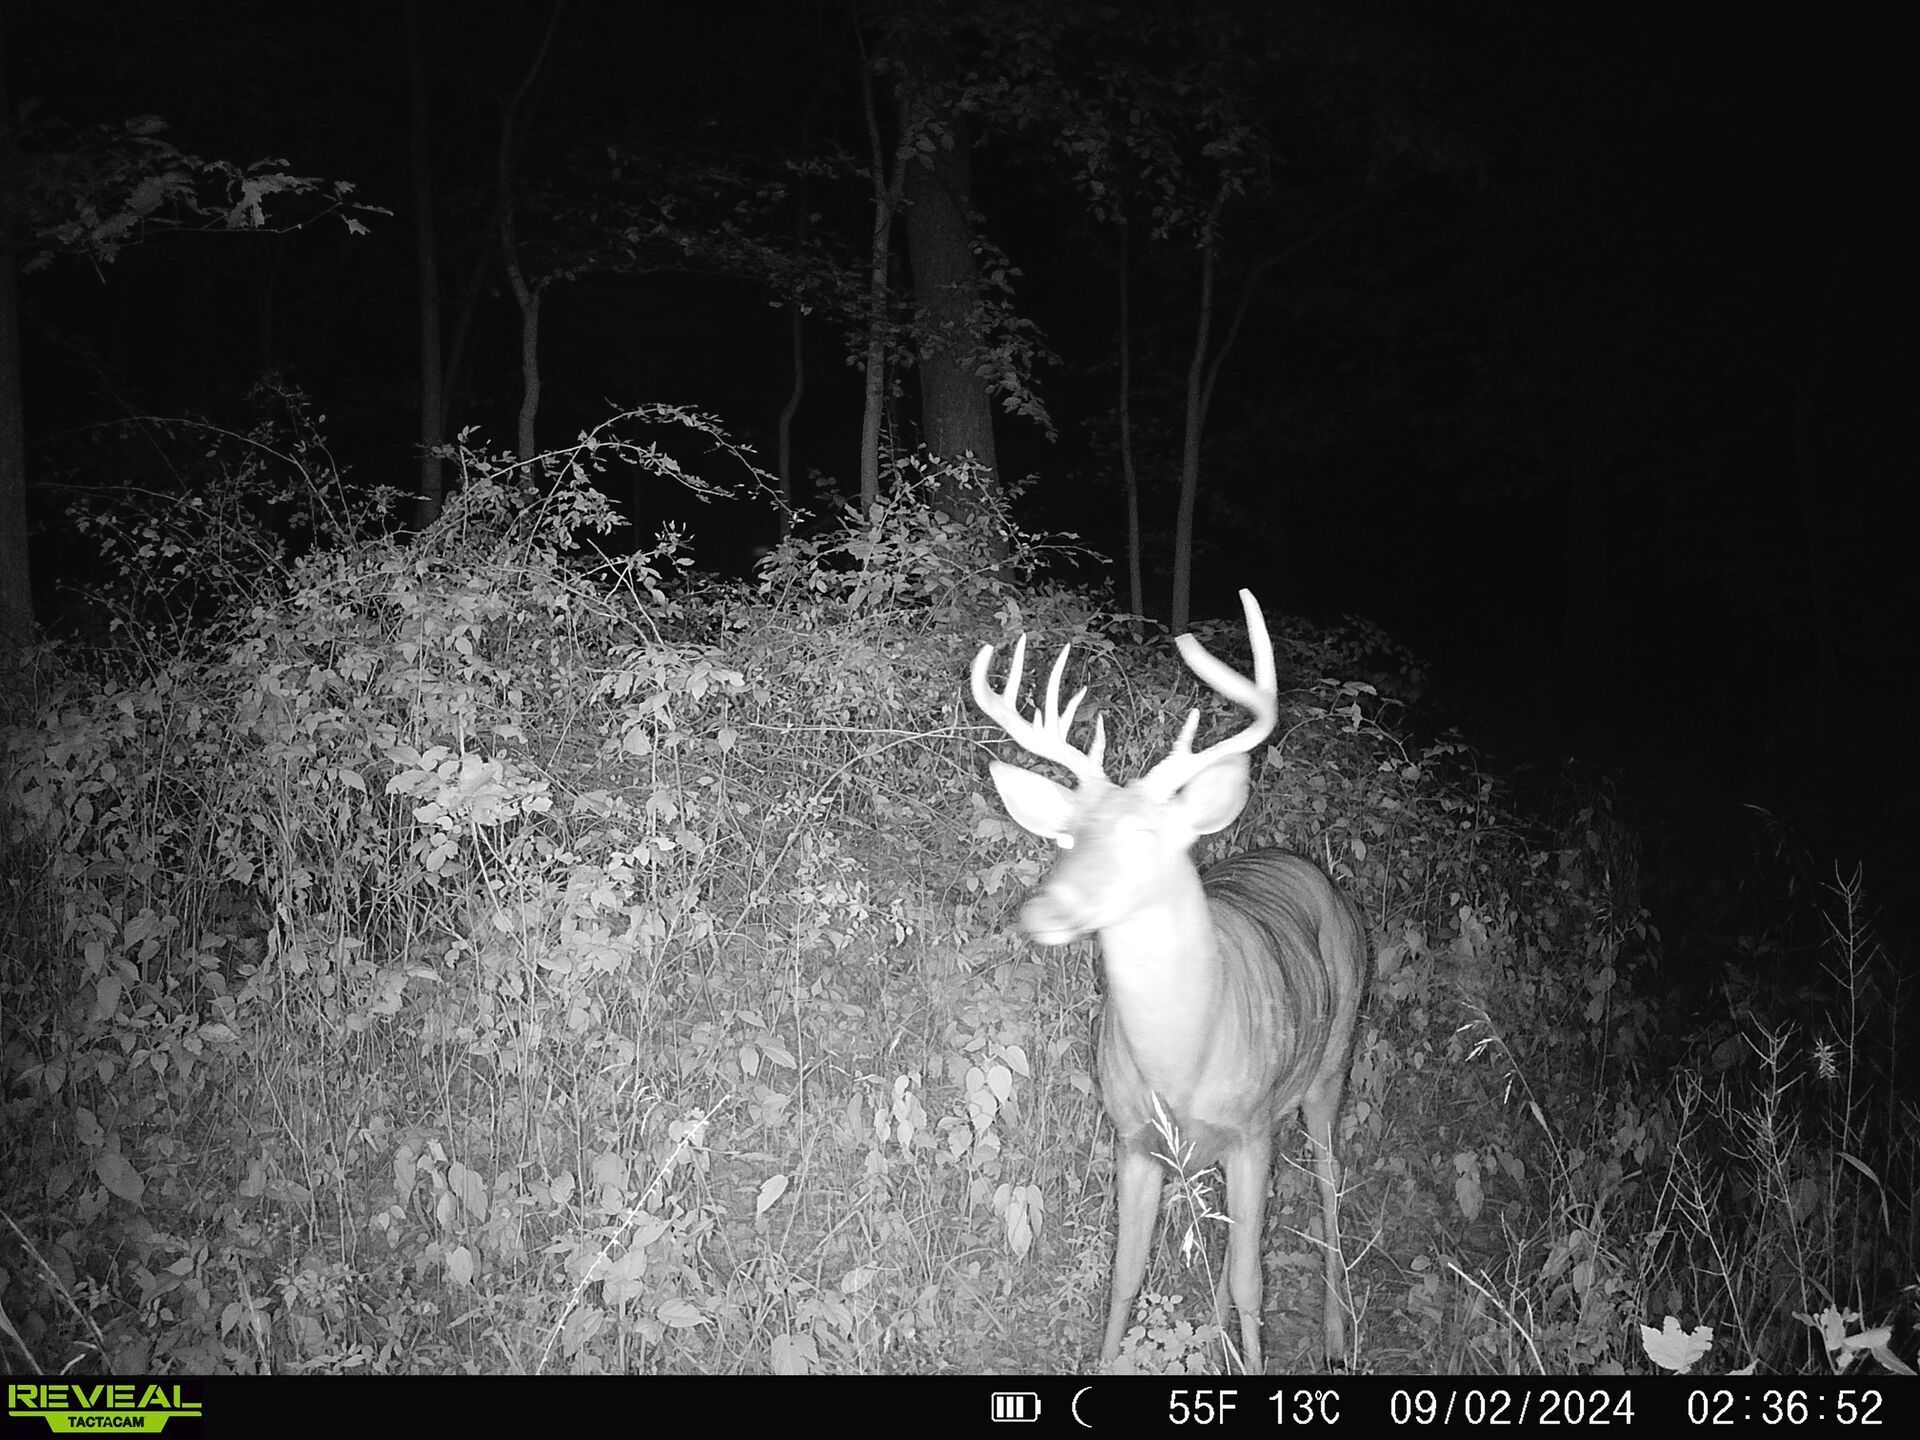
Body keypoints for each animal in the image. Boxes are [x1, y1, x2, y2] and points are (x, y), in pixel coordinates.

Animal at [970, 590, 1364, 1372]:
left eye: (1148, 838)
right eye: (1067, 836)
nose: (1042, 910)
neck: (1182, 1062)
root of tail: (1303, 865)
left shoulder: (1248, 1132)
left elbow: (1249, 1281)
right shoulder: (1132, 1139)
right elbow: (1128, 1274)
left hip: (1331, 1063)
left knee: (1330, 1187)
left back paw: (1336, 1339)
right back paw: (1214, 1338)